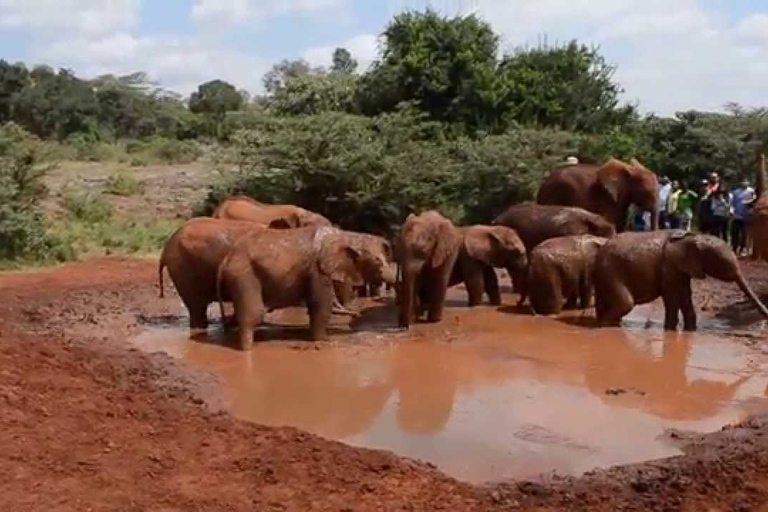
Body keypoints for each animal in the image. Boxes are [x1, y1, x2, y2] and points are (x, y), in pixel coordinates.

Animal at [596, 231, 768, 330]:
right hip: (610, 270)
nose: (765, 316)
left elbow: (685, 295)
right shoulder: (669, 266)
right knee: (626, 303)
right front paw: (670, 331)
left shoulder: (682, 269)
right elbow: (671, 297)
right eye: (724, 265)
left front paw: (690, 331)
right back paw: (605, 326)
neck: (693, 238)